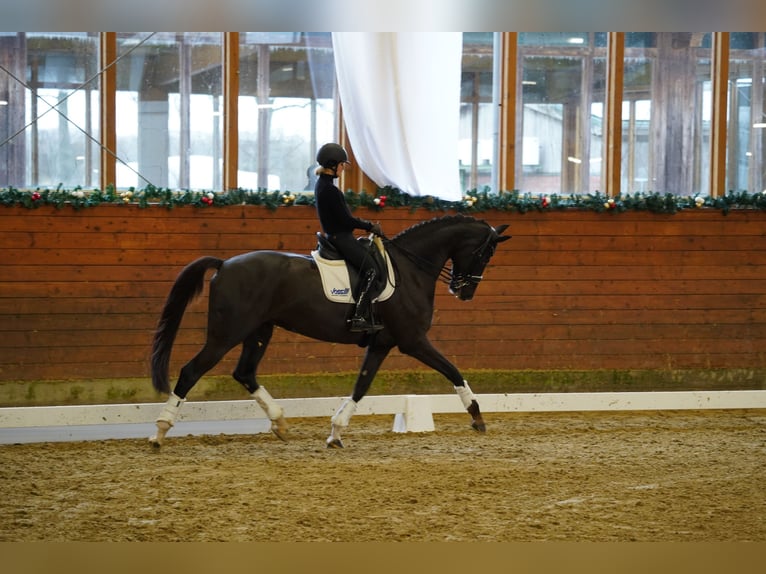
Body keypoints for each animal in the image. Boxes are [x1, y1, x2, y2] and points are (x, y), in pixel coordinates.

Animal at [149, 214, 510, 448]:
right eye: (486, 252)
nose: (464, 292)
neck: (410, 269)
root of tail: (224, 264)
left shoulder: (382, 344)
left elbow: (361, 385)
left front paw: (336, 432)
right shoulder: (413, 340)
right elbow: (453, 370)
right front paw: (477, 415)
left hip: (259, 330)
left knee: (245, 372)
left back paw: (280, 422)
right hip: (227, 333)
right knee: (191, 371)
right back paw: (160, 432)